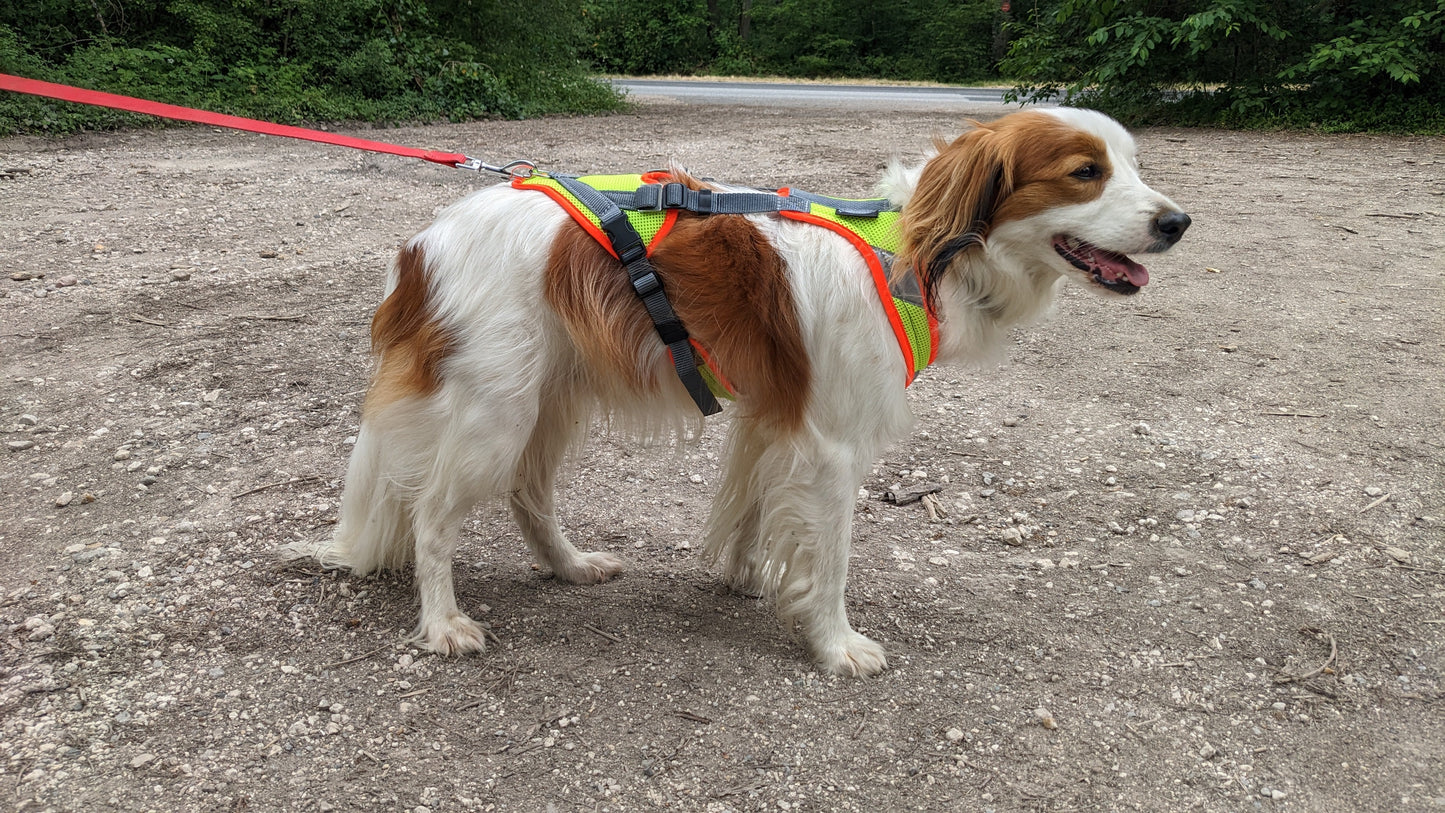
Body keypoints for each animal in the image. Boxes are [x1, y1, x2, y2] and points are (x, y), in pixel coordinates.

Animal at [287, 109, 1190, 681]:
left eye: (1134, 167)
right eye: (1084, 173)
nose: (1177, 222)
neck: (919, 251)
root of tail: (422, 246)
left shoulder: (772, 417)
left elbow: (753, 509)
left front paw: (744, 577)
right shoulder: (831, 445)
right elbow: (830, 558)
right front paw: (834, 643)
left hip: (549, 401)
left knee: (527, 495)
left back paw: (569, 565)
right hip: (495, 412)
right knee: (432, 516)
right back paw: (442, 623)